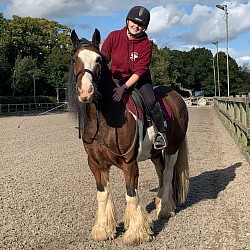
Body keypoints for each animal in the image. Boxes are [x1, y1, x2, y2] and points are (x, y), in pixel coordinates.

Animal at [67, 28, 188, 244]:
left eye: (98, 59)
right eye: (74, 59)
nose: (86, 92)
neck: (105, 118)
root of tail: (177, 96)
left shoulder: (129, 163)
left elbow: (131, 194)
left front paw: (136, 233)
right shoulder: (95, 164)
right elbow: (103, 194)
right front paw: (104, 229)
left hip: (172, 149)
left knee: (167, 175)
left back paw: (165, 209)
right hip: (155, 154)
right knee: (161, 172)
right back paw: (160, 204)